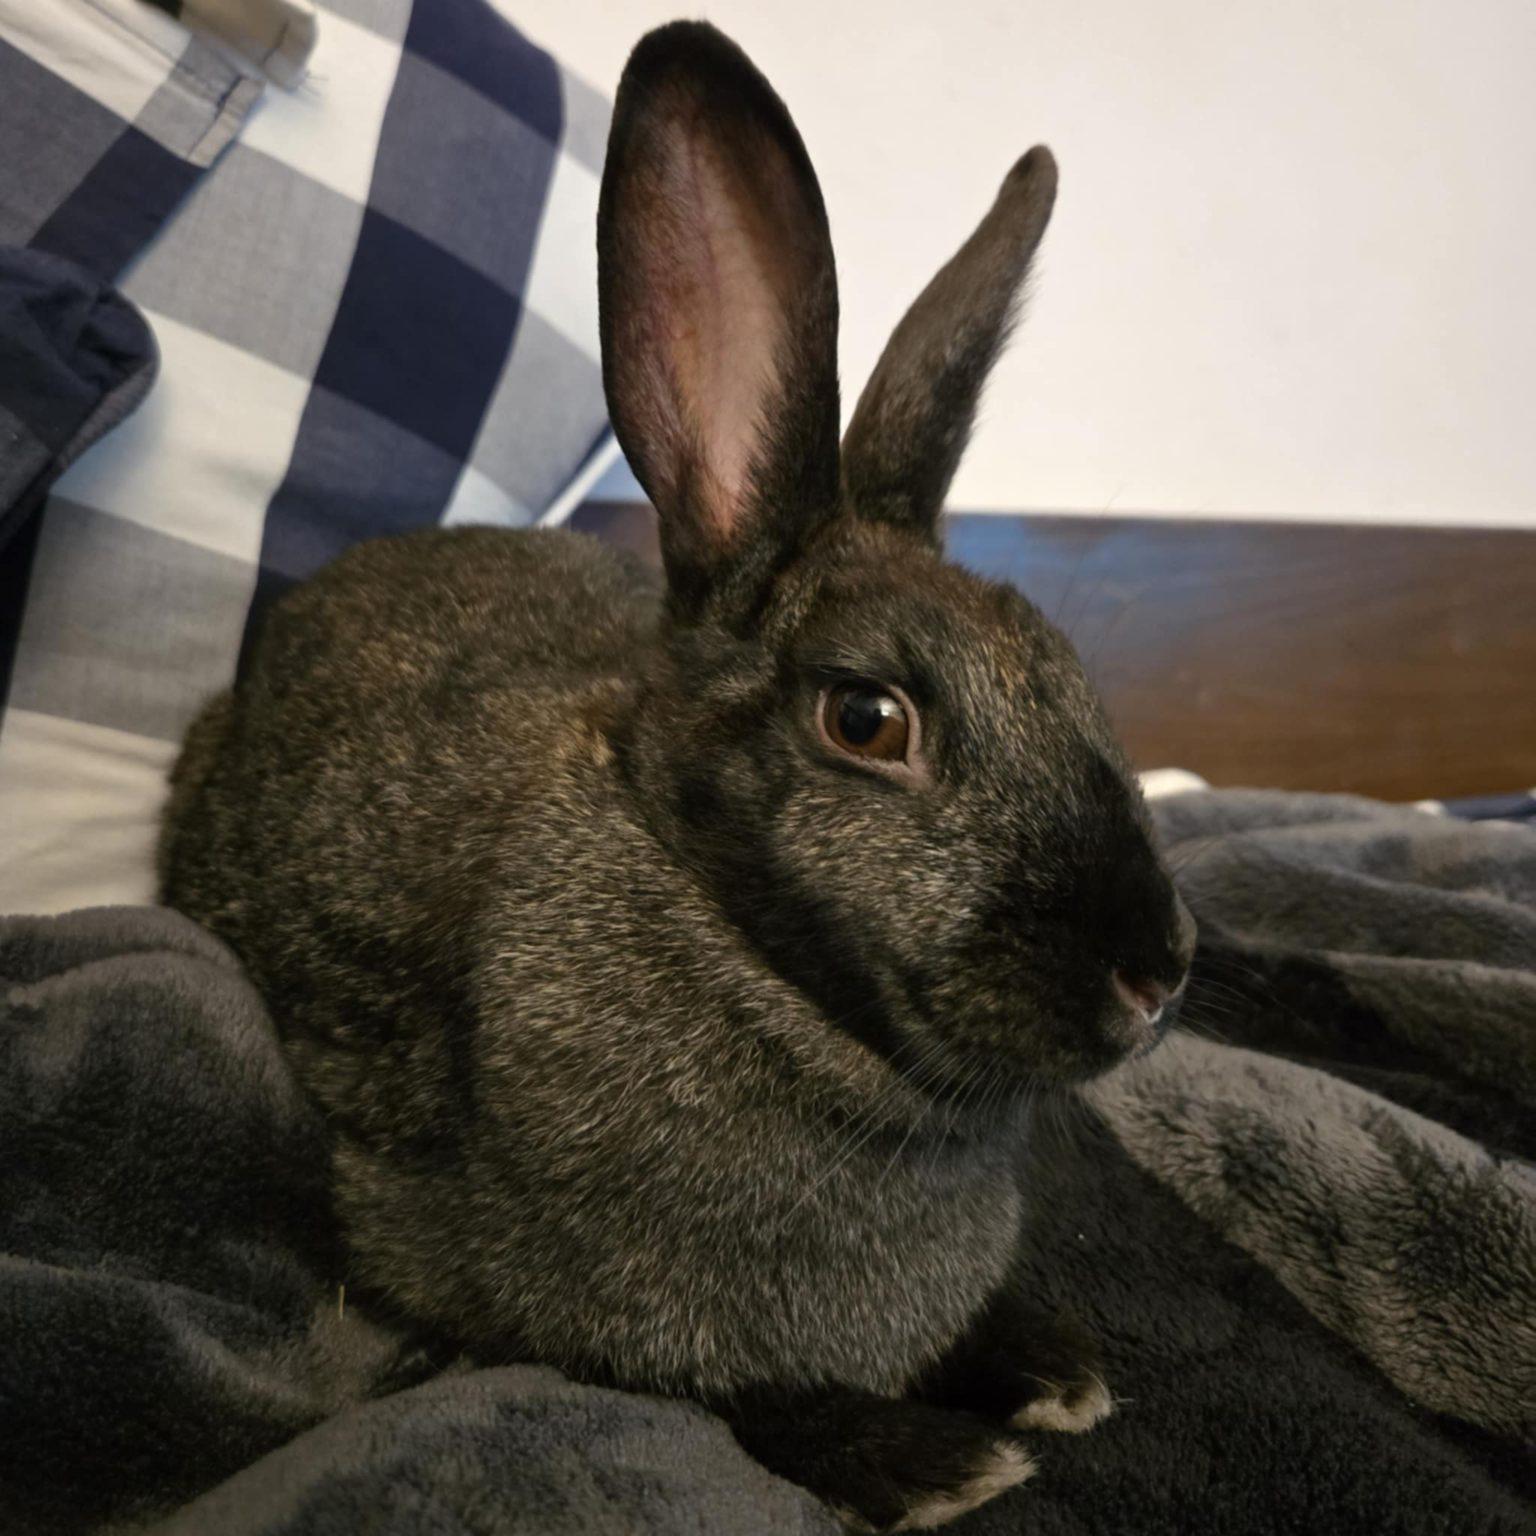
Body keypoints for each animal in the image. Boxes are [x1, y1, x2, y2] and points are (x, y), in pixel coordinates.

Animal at [159, 20, 1196, 1532]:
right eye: (867, 718)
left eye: (1068, 673)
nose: (1158, 971)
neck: (747, 957)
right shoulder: (485, 1290)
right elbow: (708, 1394)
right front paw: (935, 1462)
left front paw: (1052, 1366)